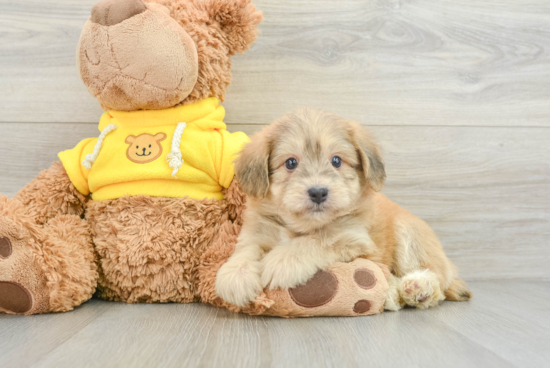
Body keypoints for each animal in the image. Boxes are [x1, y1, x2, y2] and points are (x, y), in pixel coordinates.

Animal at [217, 109, 474, 310]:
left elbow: (316, 240)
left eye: (336, 161)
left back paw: (418, 288)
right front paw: (235, 275)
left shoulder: (352, 239)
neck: (302, 225)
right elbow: (245, 251)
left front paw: (282, 260)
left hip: (409, 234)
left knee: (437, 284)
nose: (318, 192)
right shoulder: (256, 233)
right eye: (291, 163)